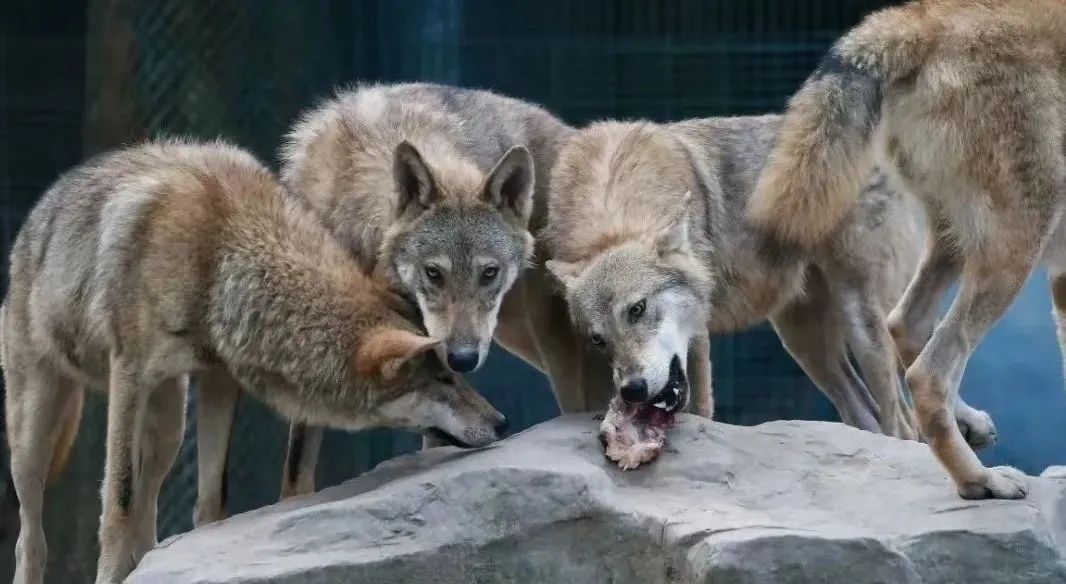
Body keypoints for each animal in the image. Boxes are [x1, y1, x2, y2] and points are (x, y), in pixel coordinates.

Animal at [0, 141, 503, 584]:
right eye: (443, 379)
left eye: (457, 373)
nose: (501, 421)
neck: (218, 247)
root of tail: (37, 214)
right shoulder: (129, 377)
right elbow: (117, 505)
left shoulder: (220, 380)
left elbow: (211, 503)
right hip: (34, 438)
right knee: (31, 537)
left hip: (168, 429)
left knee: (146, 516)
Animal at [541, 115, 997, 464]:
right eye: (598, 339)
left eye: (637, 309)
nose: (632, 390)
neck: (613, 210)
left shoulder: (698, 339)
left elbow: (702, 410)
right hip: (805, 346)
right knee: (870, 410)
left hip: (864, 323)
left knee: (904, 406)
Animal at [741, 0, 1066, 500]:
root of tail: (921, 16)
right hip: (1014, 247)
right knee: (927, 373)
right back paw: (981, 481)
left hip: (955, 244)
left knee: (906, 325)